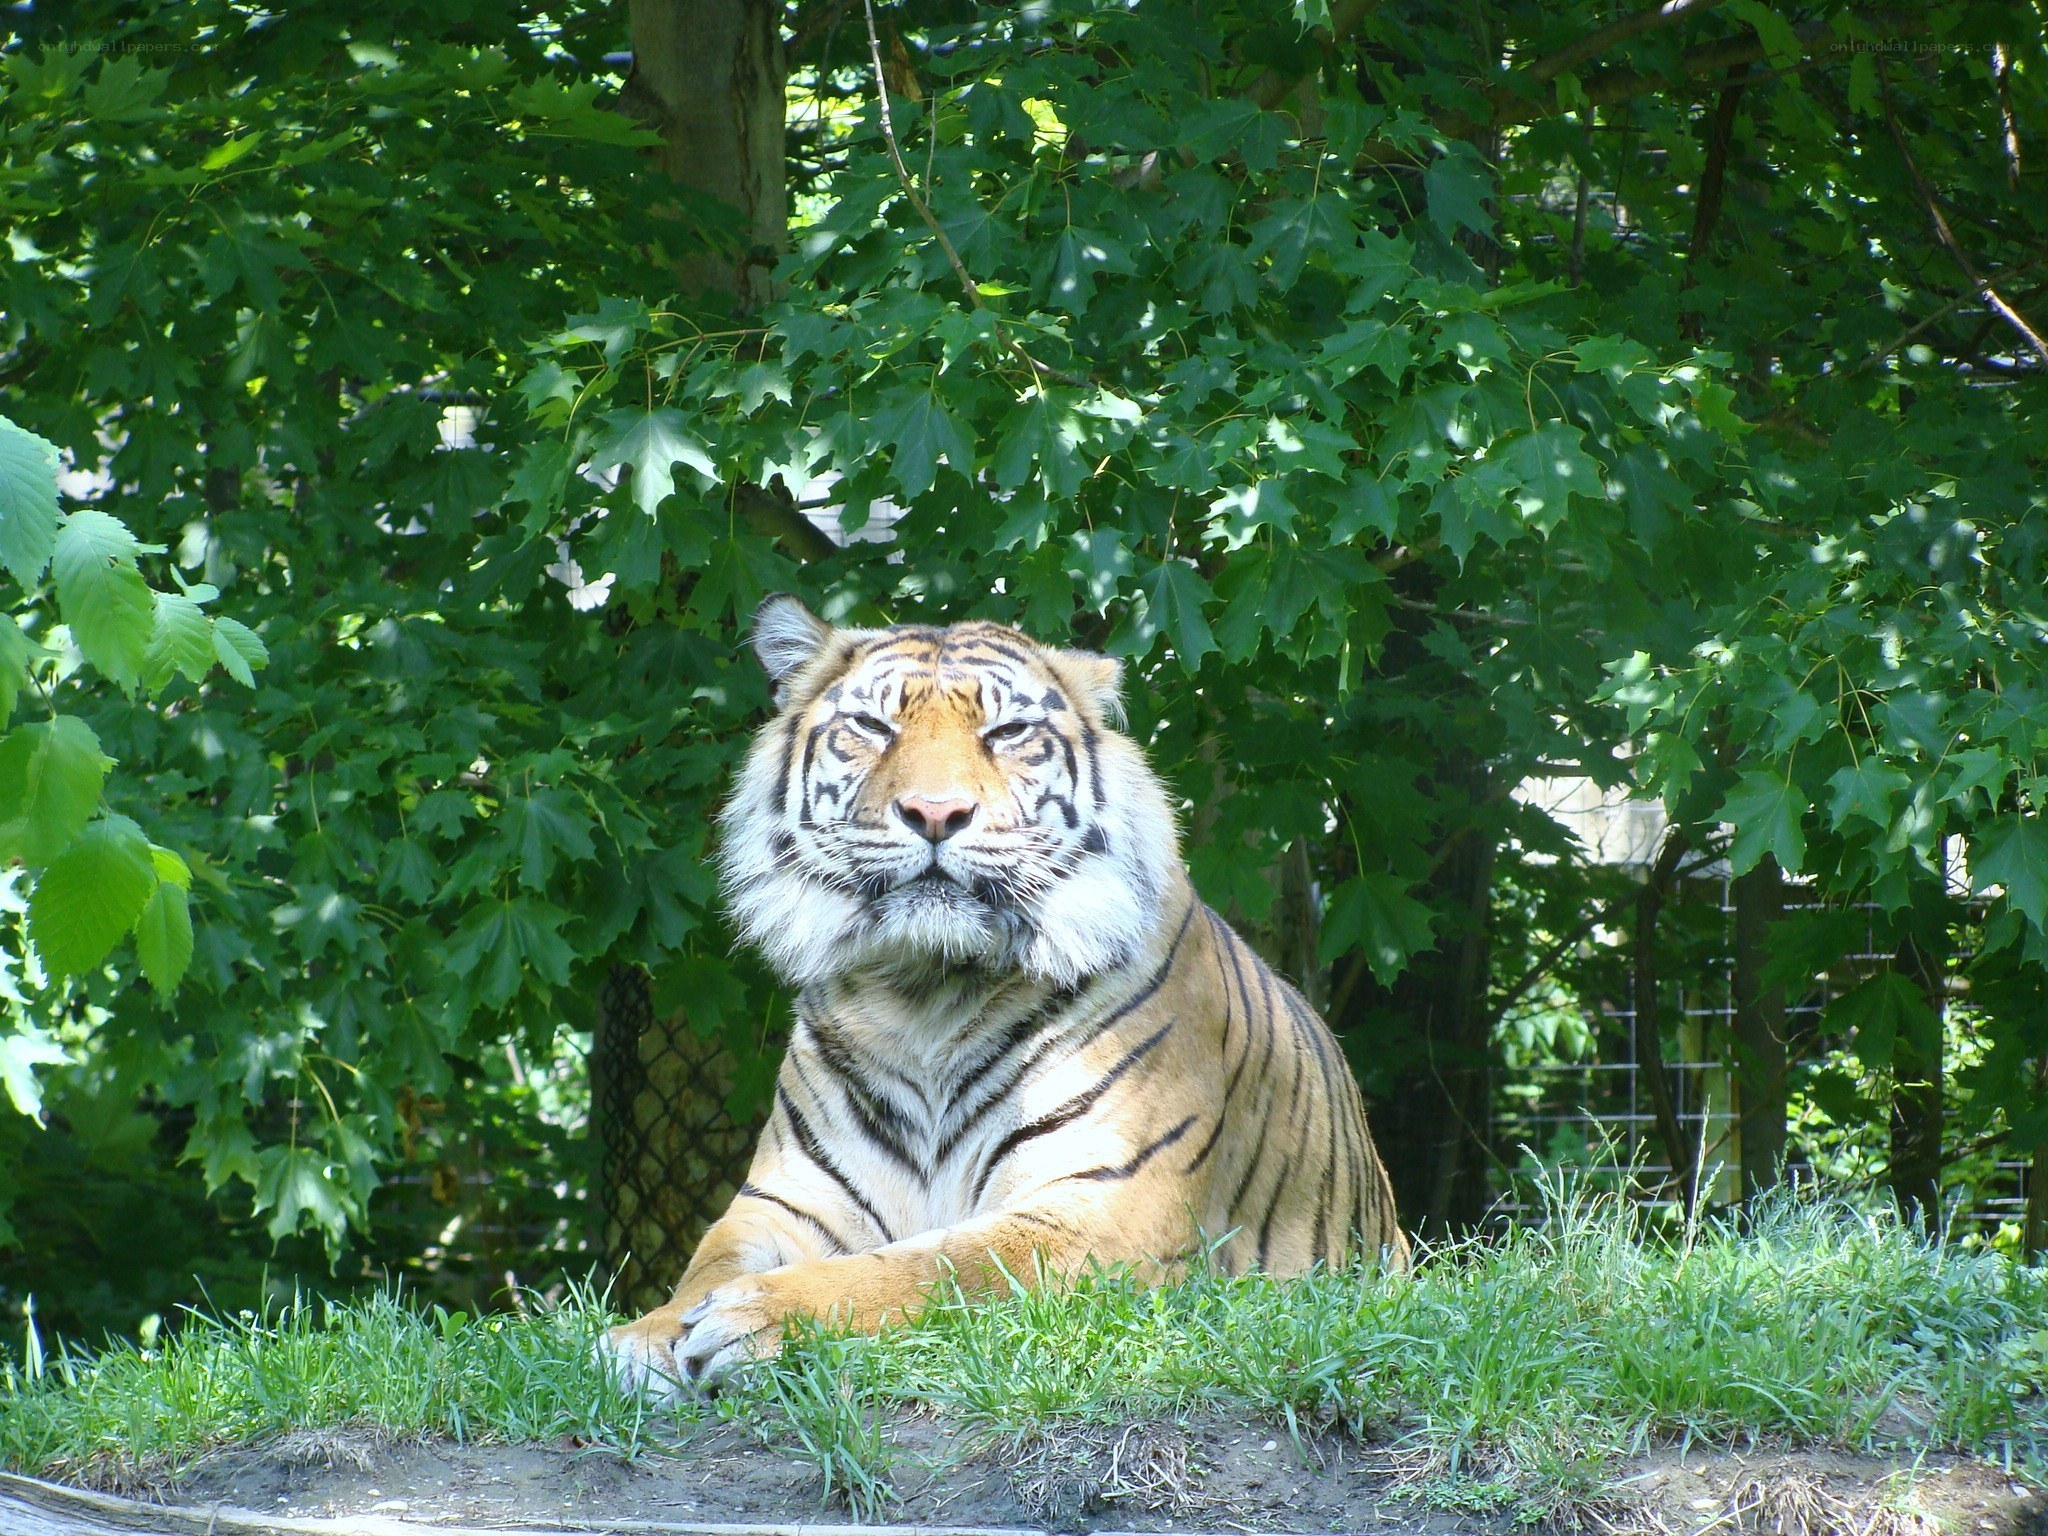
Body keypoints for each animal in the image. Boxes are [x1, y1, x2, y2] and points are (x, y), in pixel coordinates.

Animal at [606, 594, 1408, 1393]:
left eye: (1006, 732)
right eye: (873, 727)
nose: (935, 812)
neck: (921, 997)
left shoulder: (1101, 1208)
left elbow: (938, 1266)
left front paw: (757, 1317)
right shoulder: (785, 1199)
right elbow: (707, 1262)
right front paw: (641, 1339)